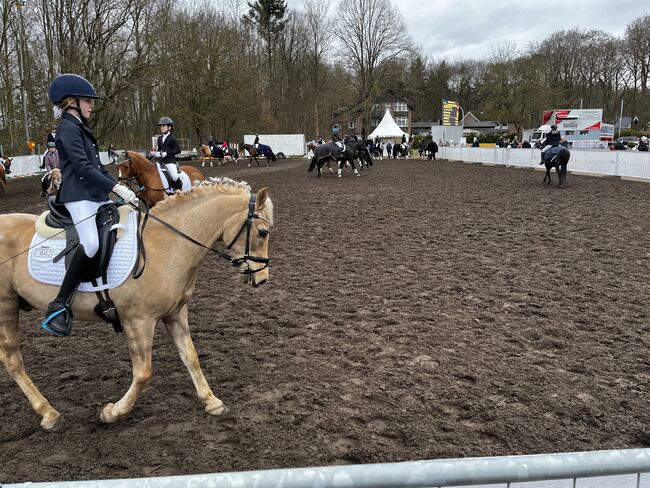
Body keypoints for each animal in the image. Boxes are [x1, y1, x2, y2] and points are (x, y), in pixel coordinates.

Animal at [0, 177, 272, 428]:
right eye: (262, 232)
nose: (262, 279)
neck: (168, 243)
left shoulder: (175, 313)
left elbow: (190, 355)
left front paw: (211, 401)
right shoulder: (138, 321)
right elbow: (143, 373)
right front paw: (111, 413)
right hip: (6, 306)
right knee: (13, 360)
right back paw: (48, 413)